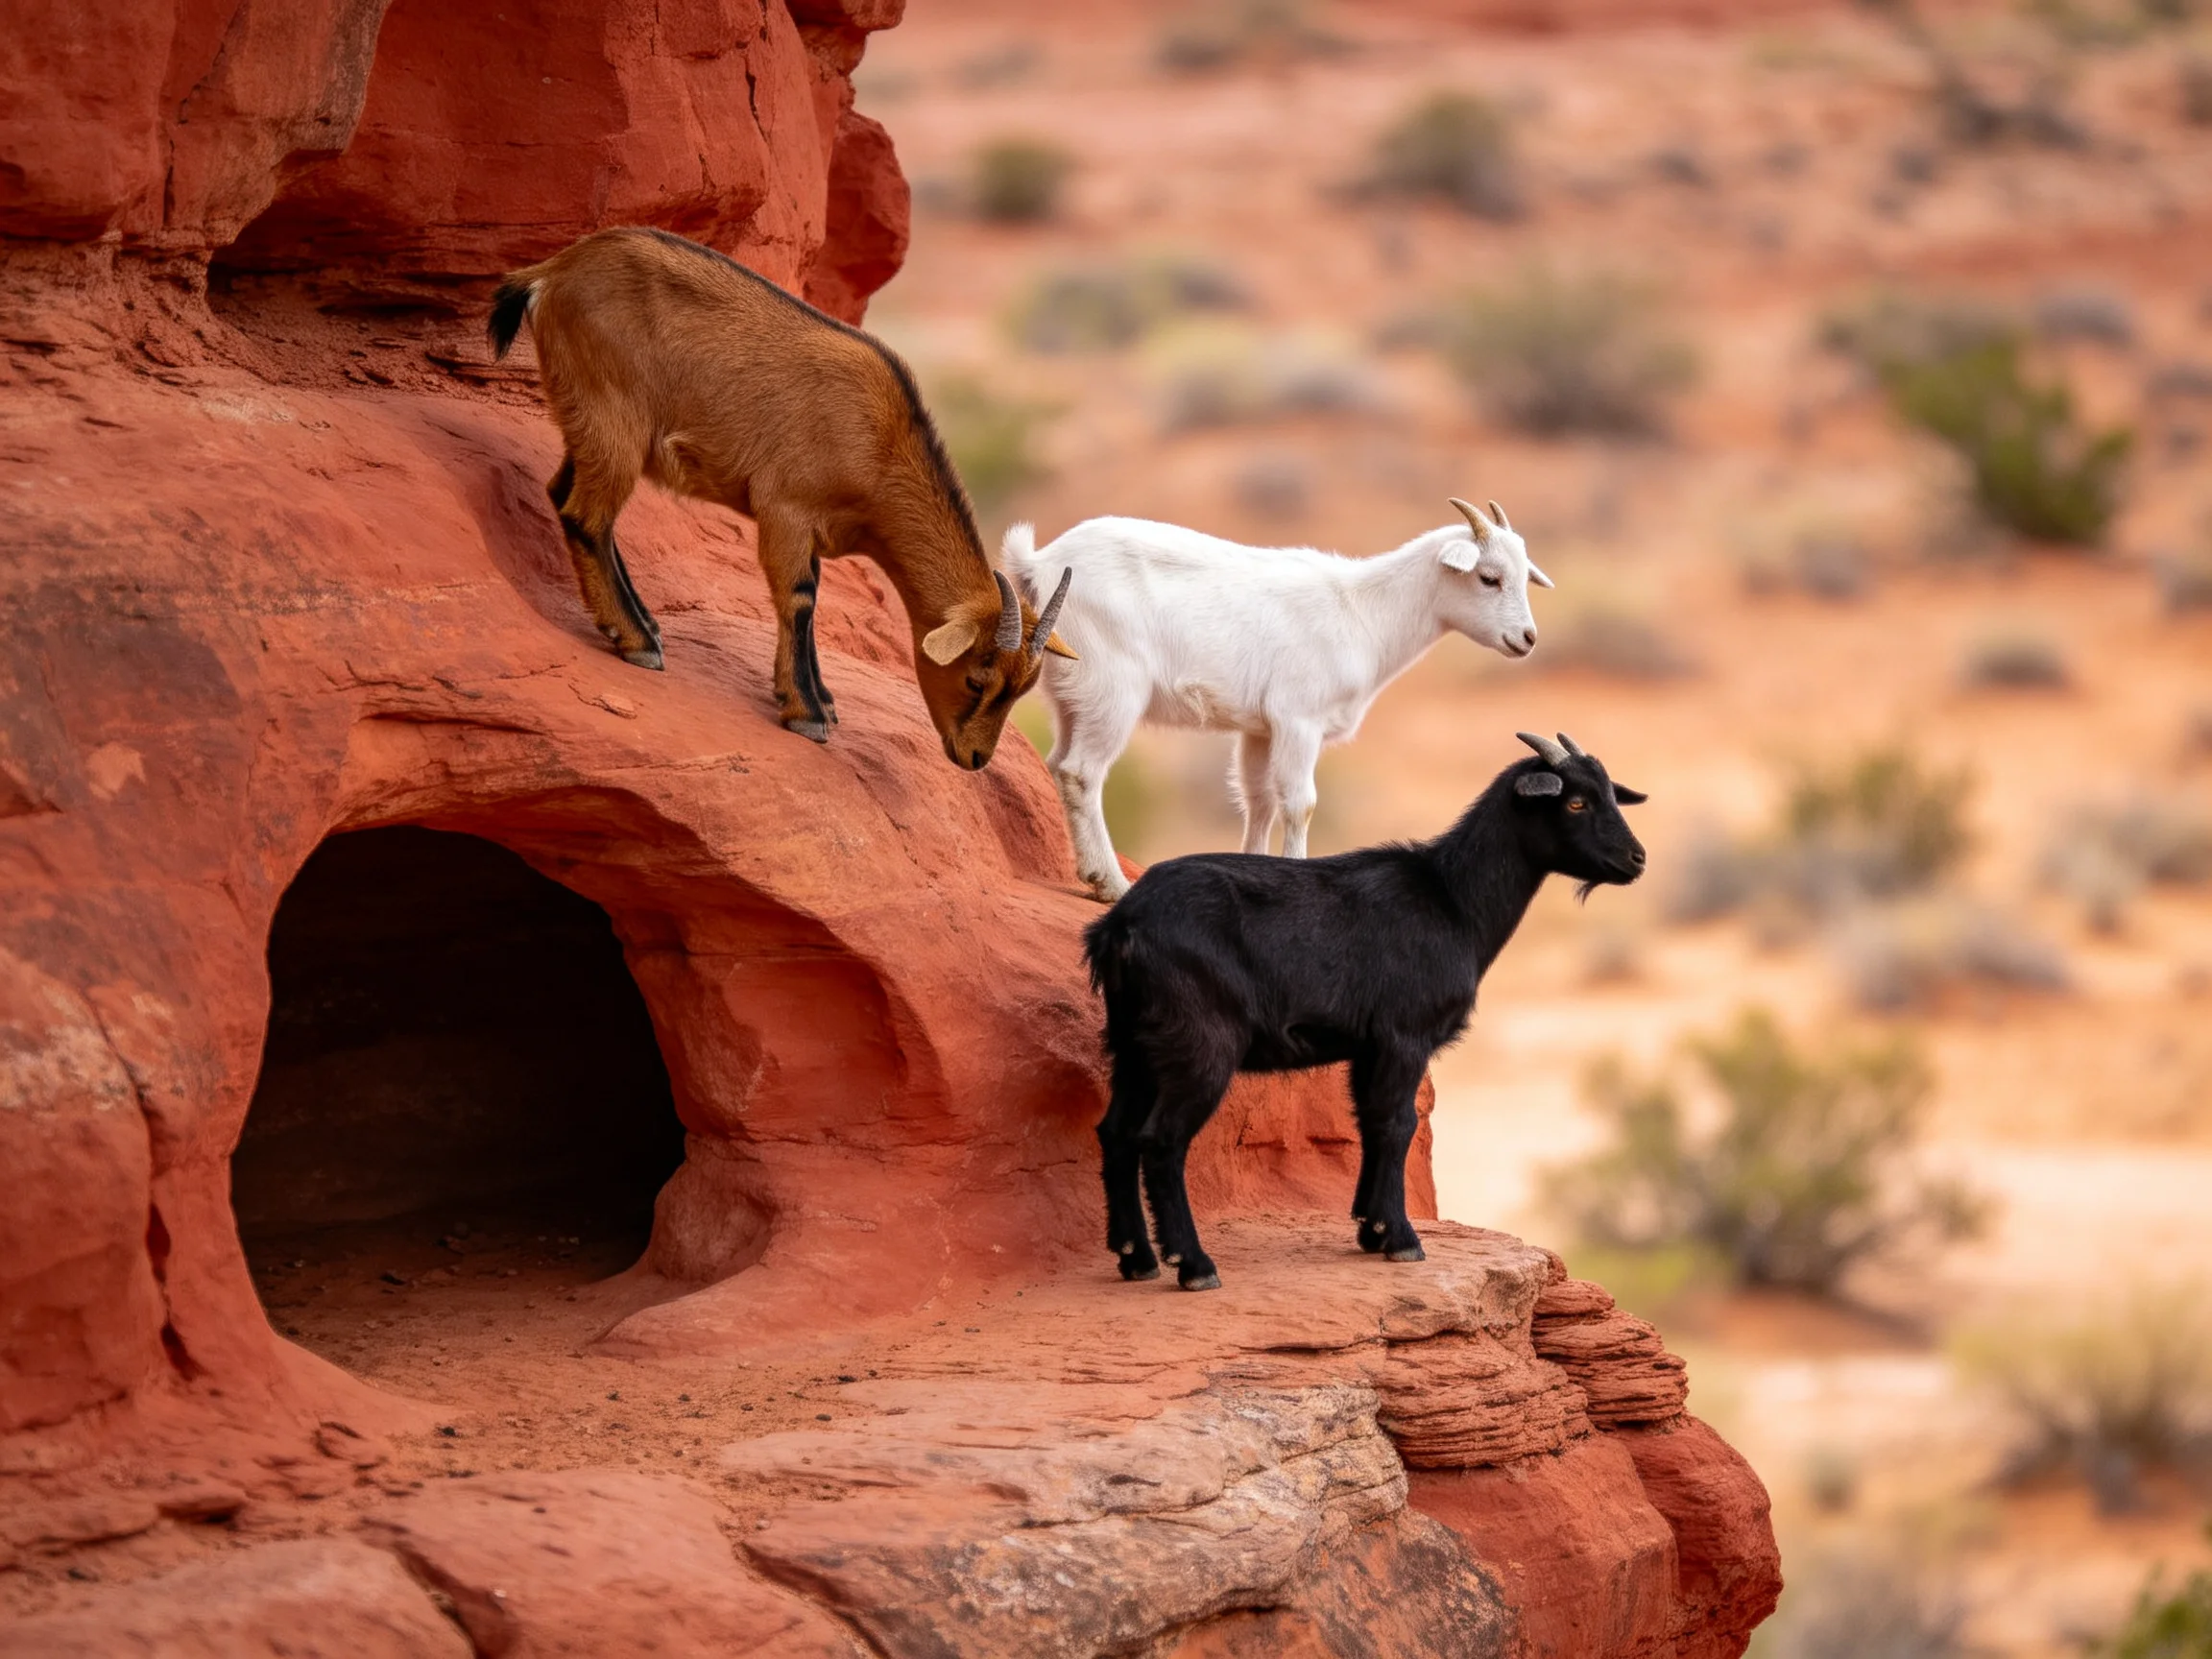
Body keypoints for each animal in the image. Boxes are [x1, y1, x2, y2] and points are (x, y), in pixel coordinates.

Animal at [488, 226, 1075, 770]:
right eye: (977, 680)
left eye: (1022, 688)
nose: (974, 758)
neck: (883, 443)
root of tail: (549, 275)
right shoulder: (786, 511)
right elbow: (799, 599)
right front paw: (807, 714)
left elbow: (809, 601)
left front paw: (822, 700)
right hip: (613, 422)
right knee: (586, 513)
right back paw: (637, 641)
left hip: (589, 423)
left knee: (566, 495)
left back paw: (645, 625)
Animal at [1004, 502, 1551, 899]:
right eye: (1488, 577)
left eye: (1524, 575)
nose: (1527, 639)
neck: (1362, 612)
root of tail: (1039, 565)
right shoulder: (1299, 720)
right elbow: (1299, 803)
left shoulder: (1259, 729)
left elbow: (1259, 800)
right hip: (1113, 689)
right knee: (1083, 772)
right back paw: (1111, 884)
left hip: (1071, 694)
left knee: (1059, 764)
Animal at [1084, 731, 1646, 1291]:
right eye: (1576, 802)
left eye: (1611, 795)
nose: (1636, 859)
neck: (1451, 900)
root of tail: (1120, 927)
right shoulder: (1405, 1035)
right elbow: (1398, 1123)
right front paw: (1401, 1238)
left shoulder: (1368, 1046)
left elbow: (1370, 1122)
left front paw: (1370, 1229)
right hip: (1199, 1044)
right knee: (1161, 1141)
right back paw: (1194, 1265)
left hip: (1133, 1043)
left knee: (1116, 1133)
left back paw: (1136, 1258)